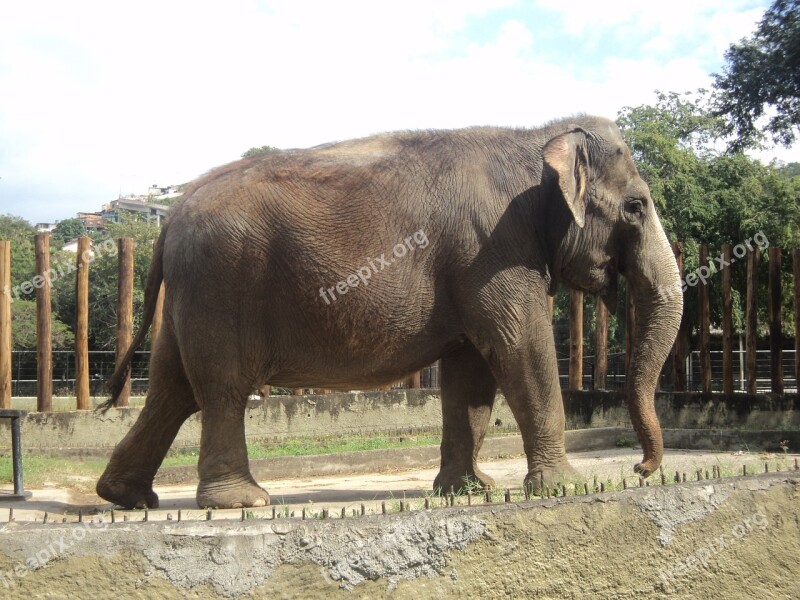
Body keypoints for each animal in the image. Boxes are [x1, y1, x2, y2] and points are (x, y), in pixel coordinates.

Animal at [94, 115, 680, 508]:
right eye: (637, 206)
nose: (641, 468)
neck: (538, 133)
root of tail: (171, 215)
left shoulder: (475, 264)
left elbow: (470, 375)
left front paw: (467, 491)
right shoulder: (495, 249)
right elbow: (521, 349)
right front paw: (566, 486)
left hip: (191, 295)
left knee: (172, 387)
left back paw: (126, 497)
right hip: (221, 282)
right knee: (220, 387)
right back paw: (241, 502)